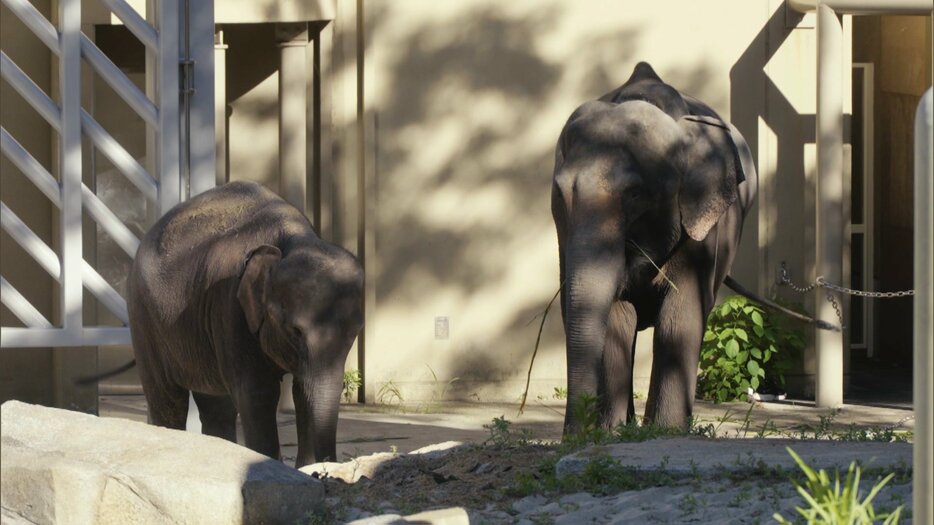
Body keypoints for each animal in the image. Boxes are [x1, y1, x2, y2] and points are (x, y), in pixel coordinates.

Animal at [121, 181, 362, 466]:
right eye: (295, 331)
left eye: (355, 334)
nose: (327, 464)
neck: (294, 238)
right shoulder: (230, 307)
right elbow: (257, 393)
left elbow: (302, 391)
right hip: (144, 319)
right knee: (168, 400)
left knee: (216, 405)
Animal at [556, 62, 760, 430]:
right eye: (559, 194)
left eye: (635, 195)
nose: (573, 437)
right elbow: (616, 317)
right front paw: (611, 433)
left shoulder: (702, 230)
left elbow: (681, 317)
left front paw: (667, 430)